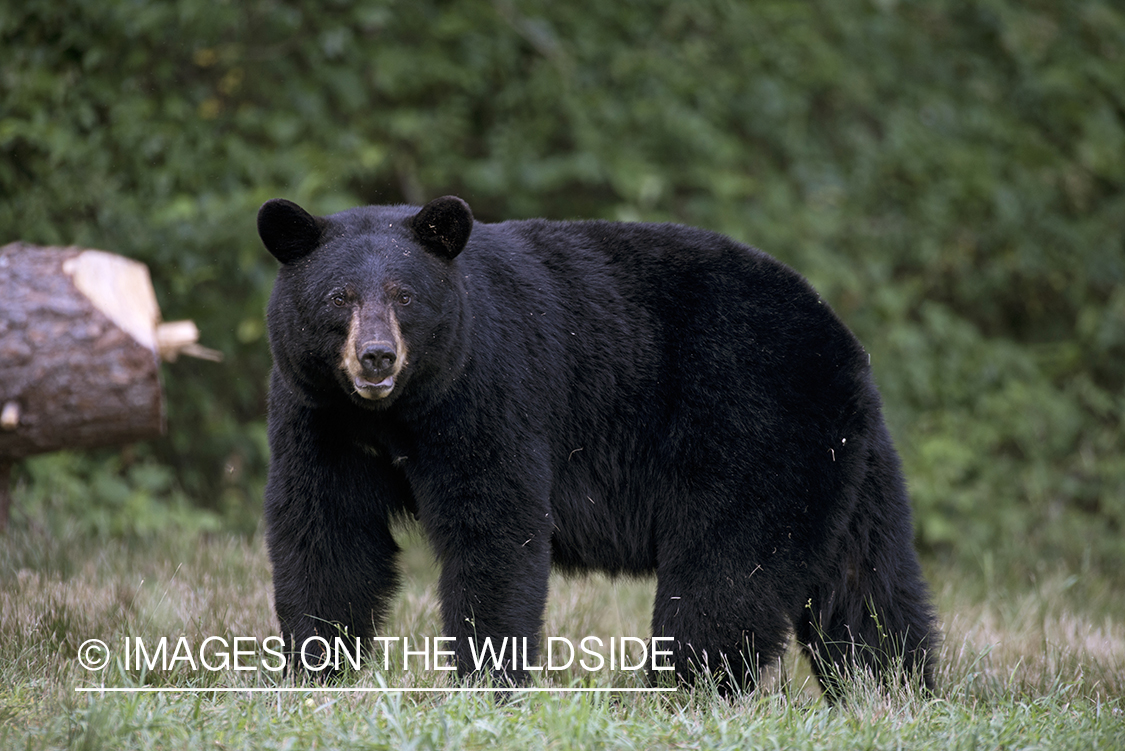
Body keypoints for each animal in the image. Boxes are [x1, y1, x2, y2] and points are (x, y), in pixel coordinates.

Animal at [258, 195, 936, 697]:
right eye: (338, 297)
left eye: (405, 295)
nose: (376, 357)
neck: (392, 414)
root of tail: (844, 342)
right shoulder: (318, 415)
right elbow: (327, 532)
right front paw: (314, 673)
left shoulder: (490, 392)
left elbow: (495, 529)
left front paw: (487, 684)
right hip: (850, 457)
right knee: (868, 584)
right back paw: (895, 691)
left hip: (757, 429)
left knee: (728, 572)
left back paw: (676, 692)